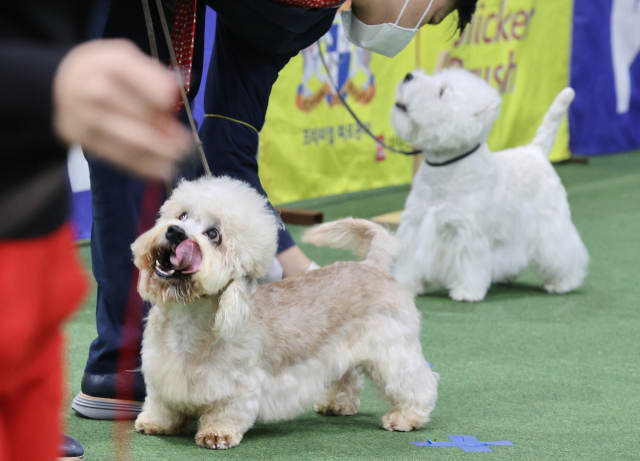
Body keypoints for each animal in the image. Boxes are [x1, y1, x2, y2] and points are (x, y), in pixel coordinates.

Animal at [130, 176, 440, 450]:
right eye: (182, 215)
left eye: (214, 235)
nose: (175, 232)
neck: (187, 318)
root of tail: (374, 264)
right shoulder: (159, 372)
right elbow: (160, 404)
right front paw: (155, 423)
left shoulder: (237, 385)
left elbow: (225, 411)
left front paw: (216, 434)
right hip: (343, 350)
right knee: (348, 376)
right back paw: (337, 404)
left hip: (393, 351)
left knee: (416, 383)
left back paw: (407, 417)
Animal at [392, 66, 588, 300]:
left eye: (442, 92)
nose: (408, 76)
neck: (443, 168)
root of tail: (536, 151)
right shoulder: (414, 223)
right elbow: (408, 260)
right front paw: (405, 285)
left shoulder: (466, 230)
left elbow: (469, 262)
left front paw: (466, 292)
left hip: (550, 222)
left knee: (564, 252)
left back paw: (562, 283)